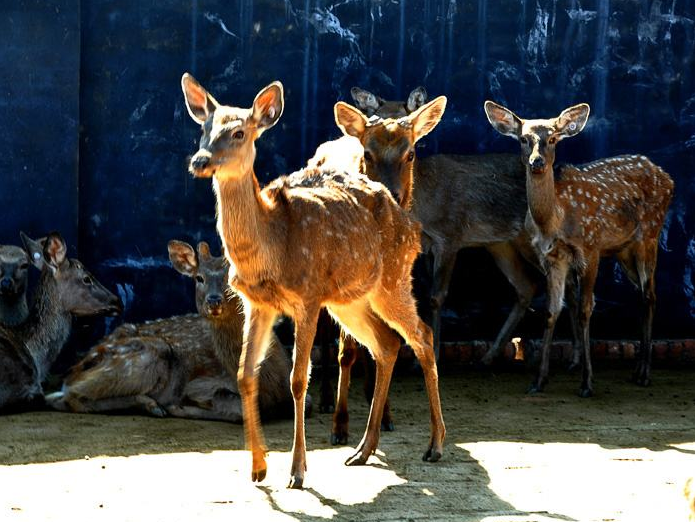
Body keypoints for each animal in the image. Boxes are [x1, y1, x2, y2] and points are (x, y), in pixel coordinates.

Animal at [47, 240, 298, 418]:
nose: (214, 301)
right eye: (199, 278)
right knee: (68, 397)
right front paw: (180, 407)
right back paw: (152, 405)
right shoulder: (201, 383)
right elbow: (236, 407)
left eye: (232, 278)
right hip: (148, 353)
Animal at [182, 74, 448, 488]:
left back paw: (434, 445)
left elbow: (297, 379)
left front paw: (297, 471)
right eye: (204, 131)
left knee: (422, 336)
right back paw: (362, 450)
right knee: (385, 344)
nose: (200, 161)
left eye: (239, 132)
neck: (271, 244)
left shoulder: (306, 298)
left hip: (393, 280)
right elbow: (244, 374)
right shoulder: (257, 303)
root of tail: (410, 224)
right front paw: (258, 467)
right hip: (349, 299)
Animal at [484, 100, 676, 394]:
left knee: (650, 295)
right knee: (642, 293)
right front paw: (538, 381)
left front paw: (587, 382)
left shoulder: (591, 247)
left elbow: (586, 309)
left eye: (552, 138)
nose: (537, 162)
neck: (554, 219)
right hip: (624, 250)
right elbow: (552, 311)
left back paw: (644, 374)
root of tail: (667, 177)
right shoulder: (551, 257)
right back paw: (636, 372)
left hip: (650, 234)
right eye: (524, 139)